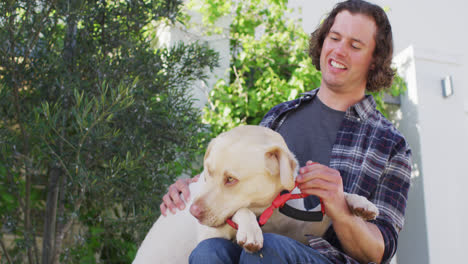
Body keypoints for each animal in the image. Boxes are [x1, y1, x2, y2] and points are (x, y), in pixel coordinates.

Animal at [132, 126, 376, 264]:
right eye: (207, 172)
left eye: (231, 179)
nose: (193, 212)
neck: (268, 207)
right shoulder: (211, 234)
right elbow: (241, 210)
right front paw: (250, 229)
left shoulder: (305, 230)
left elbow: (330, 206)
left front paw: (359, 202)